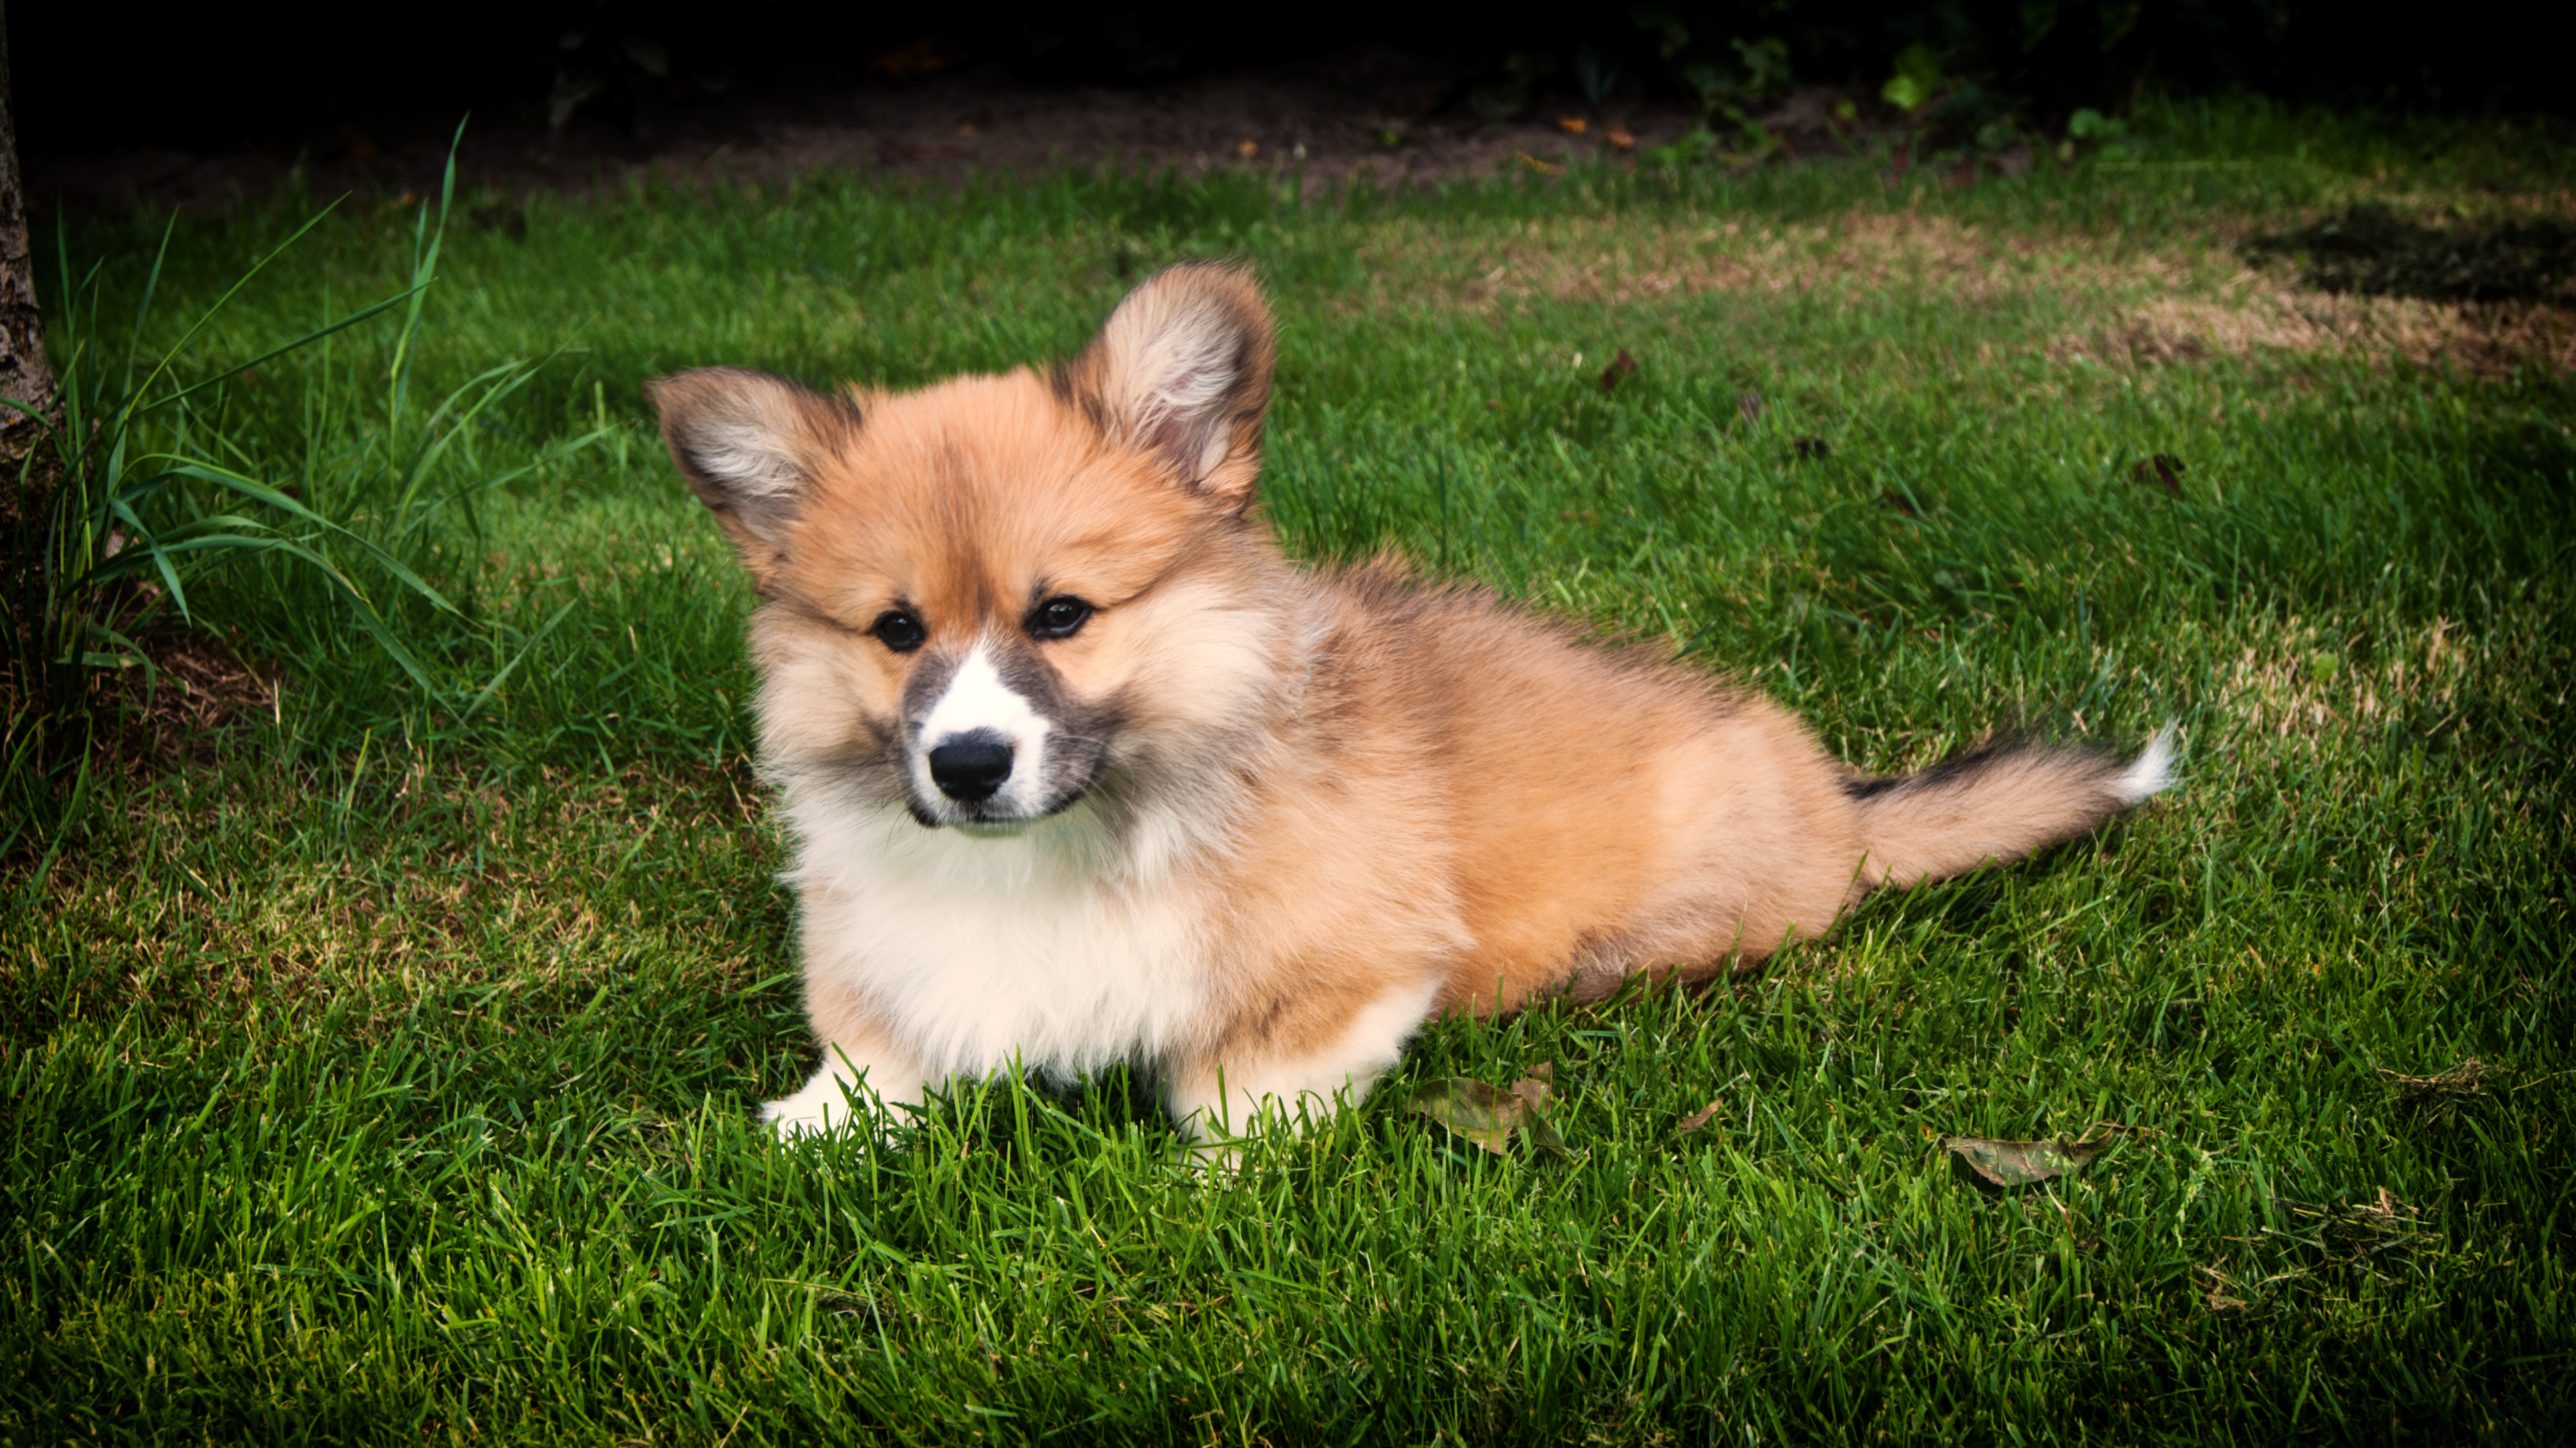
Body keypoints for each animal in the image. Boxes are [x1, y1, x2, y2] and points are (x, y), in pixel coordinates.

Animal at [649, 261, 2174, 1139]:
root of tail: (1843, 806)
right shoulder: (881, 941)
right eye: (897, 631)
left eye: (1062, 615)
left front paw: (1210, 1178)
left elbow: (1248, 1083)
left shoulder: (1354, 966)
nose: (965, 764)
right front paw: (818, 1117)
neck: (1070, 841)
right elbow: (873, 1042)